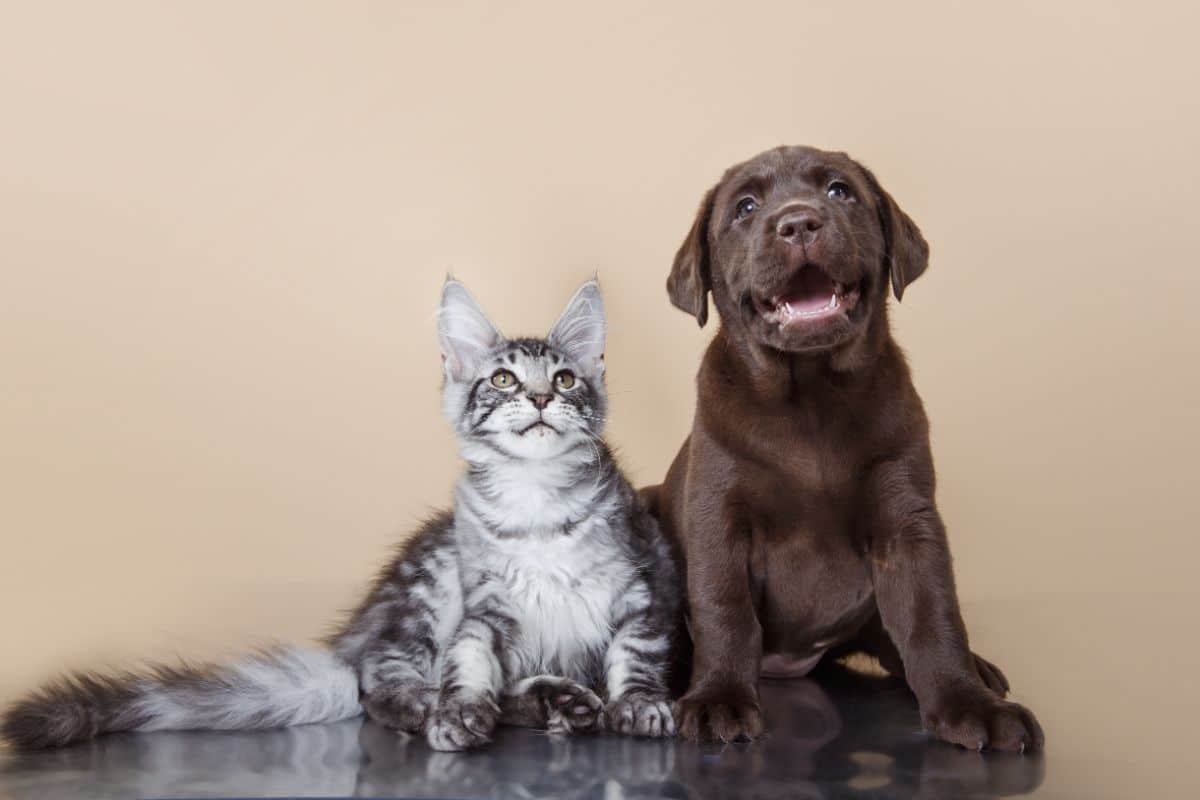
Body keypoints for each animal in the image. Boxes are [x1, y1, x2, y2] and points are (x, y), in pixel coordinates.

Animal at [0, 278, 676, 753]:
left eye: (563, 380)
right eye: (504, 380)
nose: (537, 398)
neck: (536, 503)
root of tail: (356, 631)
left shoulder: (643, 585)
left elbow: (636, 653)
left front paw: (640, 705)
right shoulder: (485, 605)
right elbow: (469, 659)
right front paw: (457, 710)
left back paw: (559, 703)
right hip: (428, 582)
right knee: (378, 680)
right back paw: (452, 705)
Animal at [643, 146, 1046, 753]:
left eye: (839, 192)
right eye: (745, 207)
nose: (798, 223)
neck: (811, 395)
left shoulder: (907, 520)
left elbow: (933, 615)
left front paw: (968, 702)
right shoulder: (718, 515)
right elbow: (724, 609)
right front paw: (719, 698)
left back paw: (979, 672)